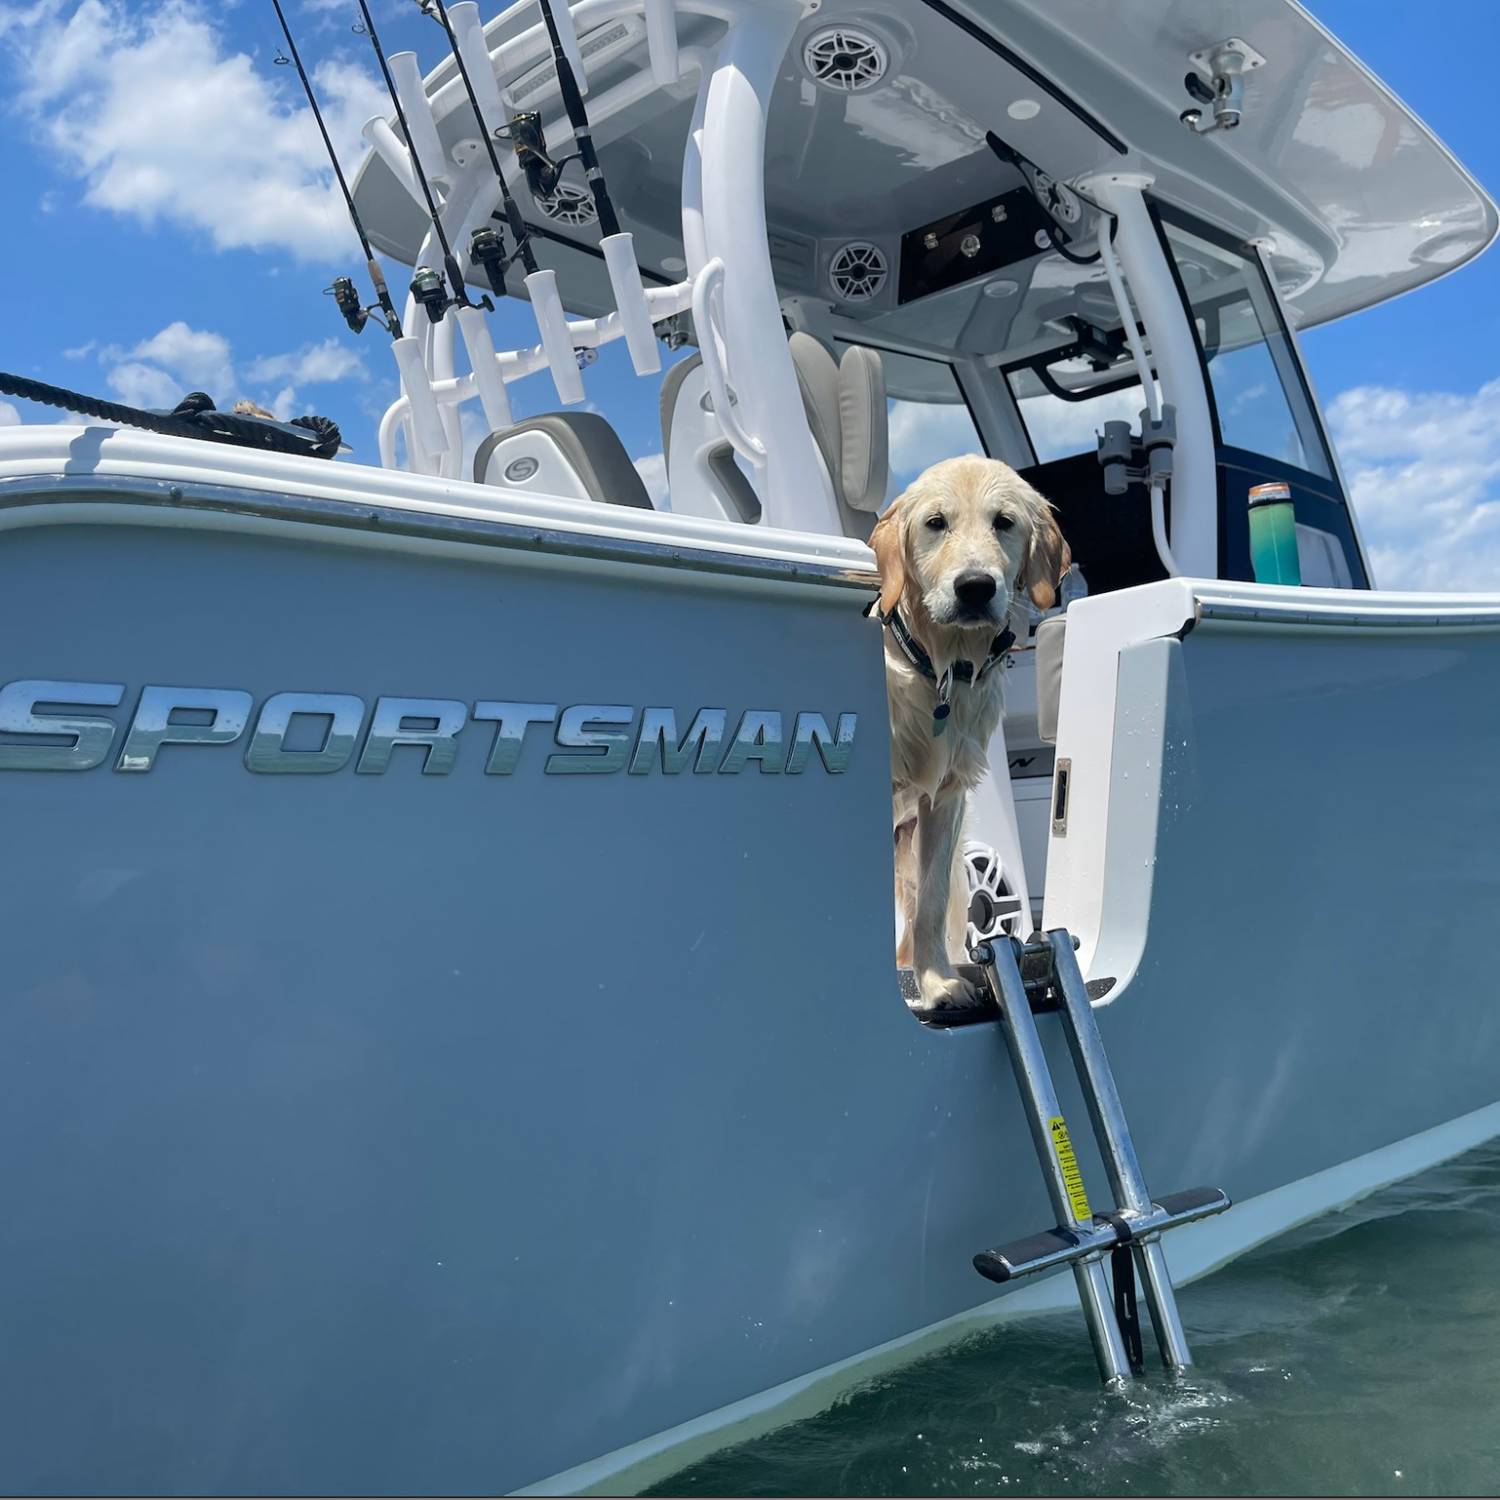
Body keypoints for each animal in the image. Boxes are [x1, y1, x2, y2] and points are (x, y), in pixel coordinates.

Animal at [876, 453, 1074, 1008]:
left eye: (1003, 522)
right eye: (935, 523)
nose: (975, 587)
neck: (941, 666)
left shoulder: (945, 798)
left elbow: (932, 900)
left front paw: (936, 982)